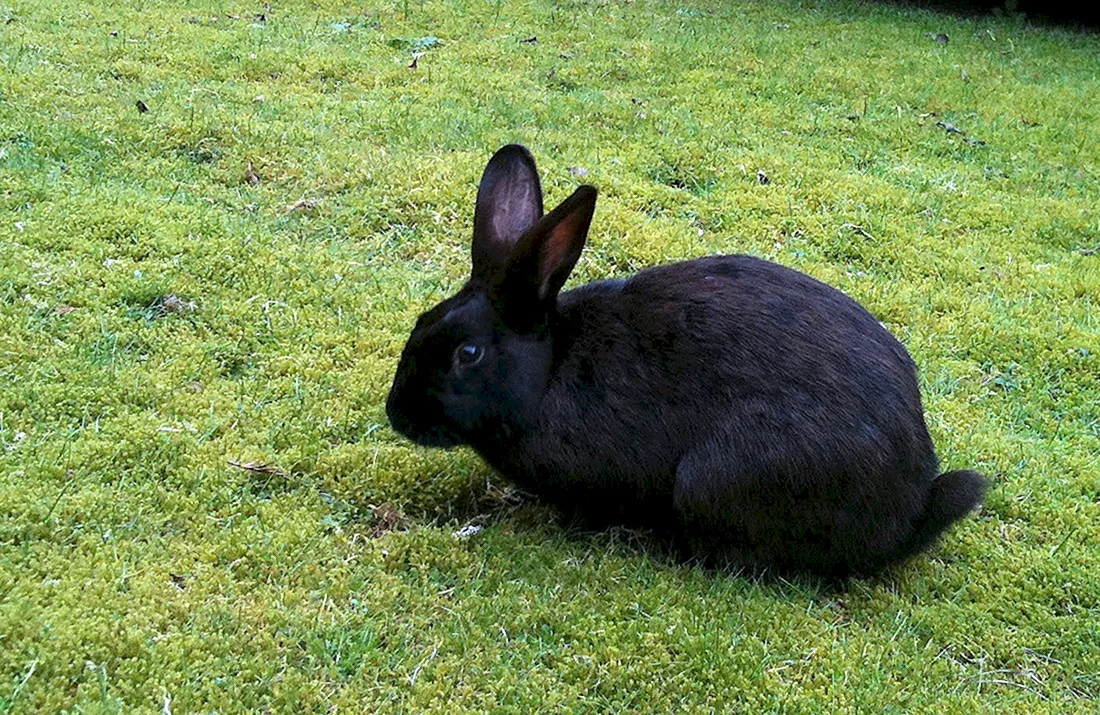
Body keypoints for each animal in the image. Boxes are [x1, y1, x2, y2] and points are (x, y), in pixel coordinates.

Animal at [386, 144, 987, 577]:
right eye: (421, 320)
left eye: (468, 353)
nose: (397, 415)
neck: (549, 370)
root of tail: (905, 514)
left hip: (713, 478)